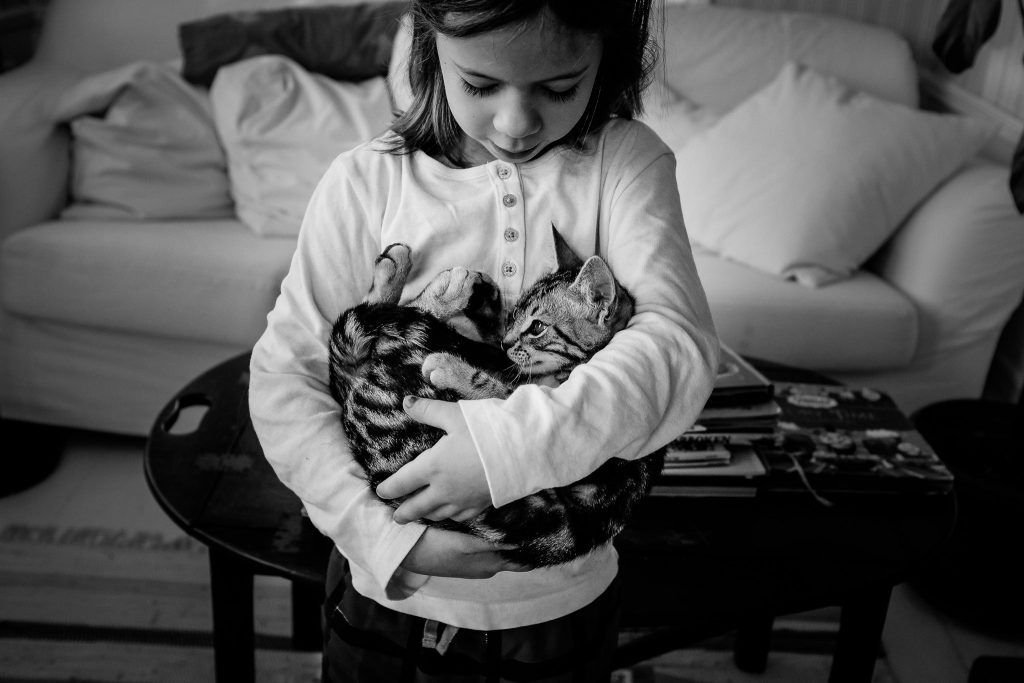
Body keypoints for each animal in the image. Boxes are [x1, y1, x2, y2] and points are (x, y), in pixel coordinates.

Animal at [327, 240, 663, 565]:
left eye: (537, 327)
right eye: (514, 317)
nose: (506, 341)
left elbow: (498, 390)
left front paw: (452, 368)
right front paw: (489, 314)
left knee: (397, 327)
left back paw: (444, 292)